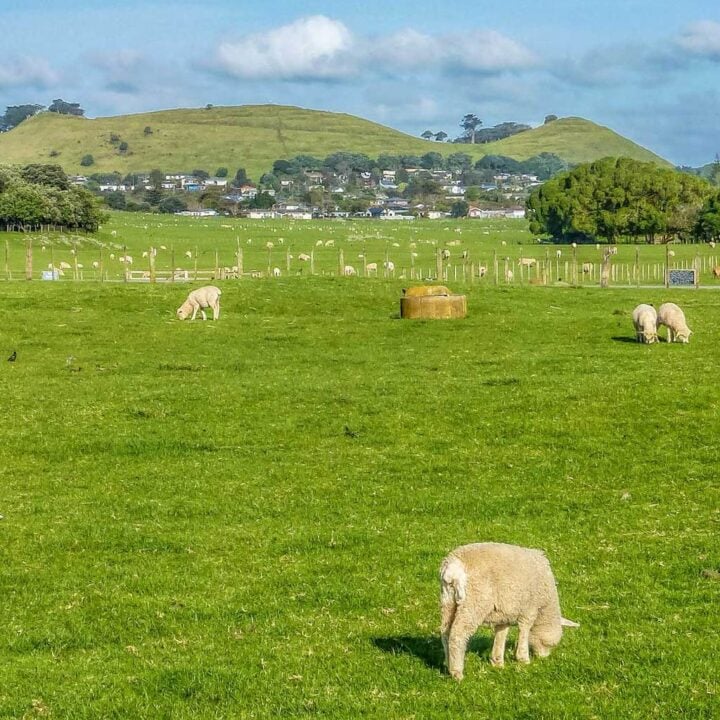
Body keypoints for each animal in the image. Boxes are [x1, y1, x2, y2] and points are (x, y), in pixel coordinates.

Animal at [440, 542, 579, 680]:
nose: (543, 658)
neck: (545, 606)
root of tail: (453, 567)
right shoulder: (529, 609)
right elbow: (524, 630)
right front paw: (523, 659)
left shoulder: (504, 613)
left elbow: (501, 634)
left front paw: (497, 662)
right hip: (474, 602)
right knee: (458, 634)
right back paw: (457, 673)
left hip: (448, 601)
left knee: (445, 632)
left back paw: (448, 665)